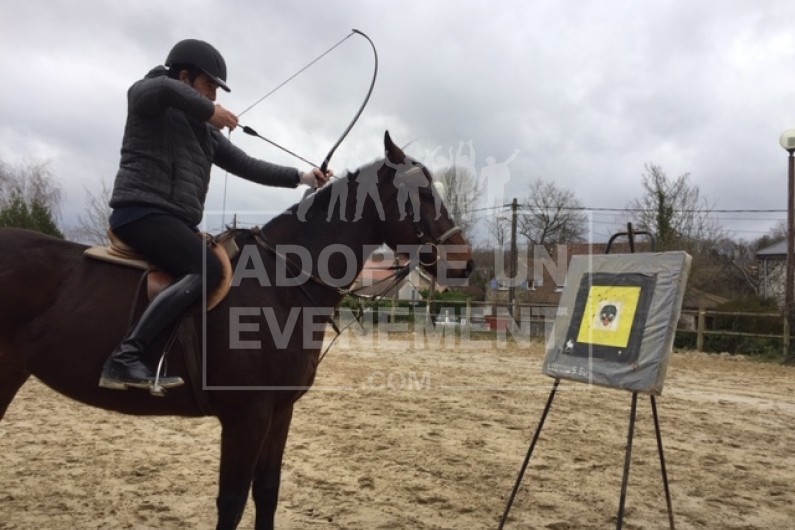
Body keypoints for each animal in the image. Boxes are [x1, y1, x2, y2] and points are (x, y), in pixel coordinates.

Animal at [0, 132, 472, 528]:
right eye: (423, 193)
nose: (463, 262)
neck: (280, 282)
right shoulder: (247, 416)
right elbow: (232, 501)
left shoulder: (279, 412)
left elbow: (267, 492)